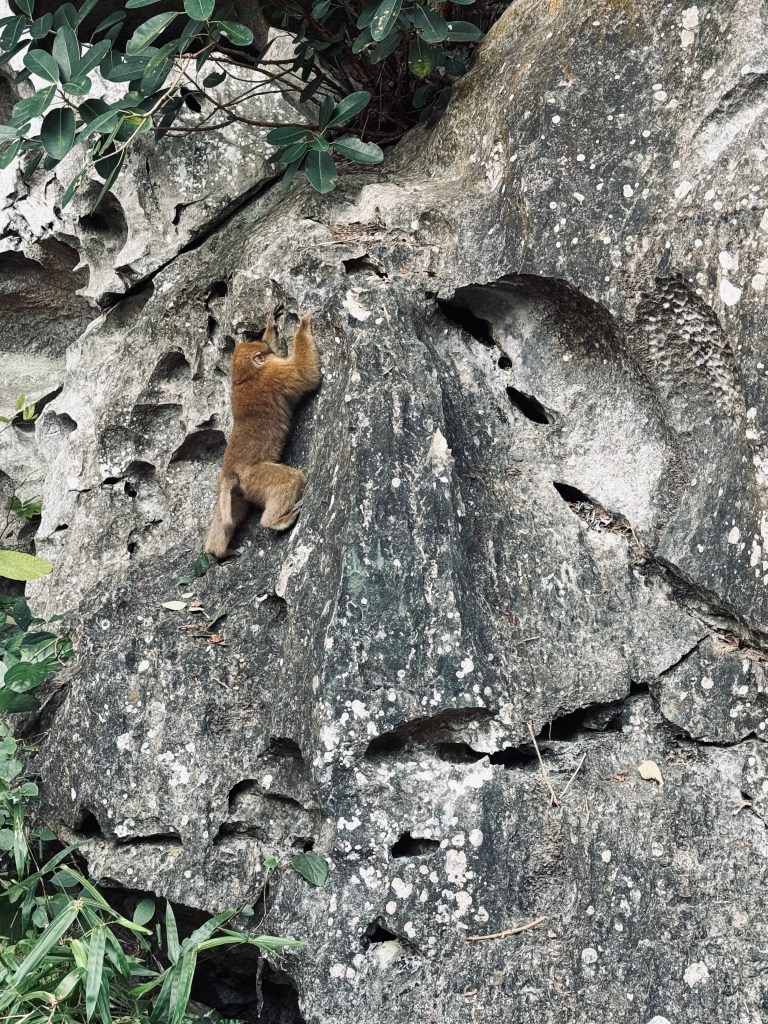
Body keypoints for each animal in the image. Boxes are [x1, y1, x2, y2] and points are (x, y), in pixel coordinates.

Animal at [204, 308, 320, 559]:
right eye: (263, 352)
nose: (265, 347)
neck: (244, 378)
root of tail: (230, 472)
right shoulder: (274, 373)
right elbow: (305, 374)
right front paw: (303, 325)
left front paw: (271, 325)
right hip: (255, 478)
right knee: (289, 480)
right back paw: (276, 522)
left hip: (238, 492)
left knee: (228, 514)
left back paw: (217, 552)